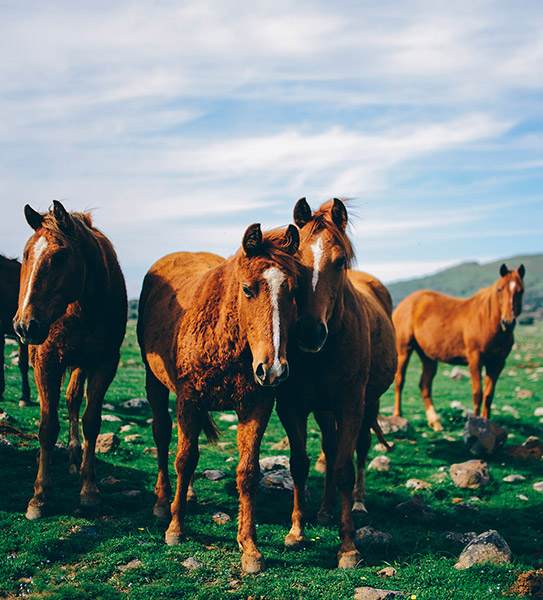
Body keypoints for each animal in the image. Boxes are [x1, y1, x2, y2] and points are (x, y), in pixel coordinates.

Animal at [13, 202, 128, 520]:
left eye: (61, 256)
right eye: (26, 254)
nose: (25, 326)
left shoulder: (104, 364)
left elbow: (91, 422)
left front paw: (89, 490)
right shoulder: (46, 361)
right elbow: (47, 426)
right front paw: (39, 496)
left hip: (79, 364)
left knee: (73, 399)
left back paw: (75, 454)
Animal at [135, 223, 298, 576]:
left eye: (294, 292)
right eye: (248, 289)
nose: (273, 369)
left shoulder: (256, 407)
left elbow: (247, 473)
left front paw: (249, 547)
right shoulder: (189, 400)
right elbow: (184, 459)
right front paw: (175, 528)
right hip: (155, 383)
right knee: (163, 435)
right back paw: (163, 502)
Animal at [276, 199, 396, 568]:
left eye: (341, 260)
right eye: (294, 261)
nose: (309, 333)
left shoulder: (351, 405)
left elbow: (344, 468)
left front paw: (348, 547)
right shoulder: (291, 407)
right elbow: (299, 465)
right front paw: (296, 532)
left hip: (368, 404)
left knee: (360, 449)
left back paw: (357, 502)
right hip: (323, 409)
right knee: (329, 446)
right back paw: (326, 509)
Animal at [396, 264, 528, 432]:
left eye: (521, 290)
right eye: (500, 289)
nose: (508, 322)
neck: (487, 322)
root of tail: (404, 303)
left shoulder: (497, 364)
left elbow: (488, 395)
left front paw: (487, 424)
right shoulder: (475, 361)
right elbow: (477, 394)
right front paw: (476, 426)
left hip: (428, 357)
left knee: (425, 386)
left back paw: (435, 423)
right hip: (404, 350)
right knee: (399, 381)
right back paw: (398, 416)